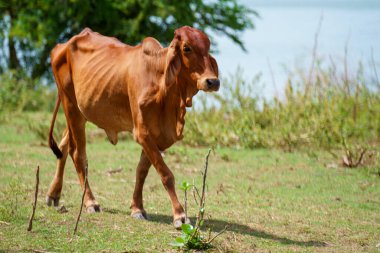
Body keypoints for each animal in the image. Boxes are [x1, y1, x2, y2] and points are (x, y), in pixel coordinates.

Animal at [46, 26, 220, 228]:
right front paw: (179, 215)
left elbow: (141, 171)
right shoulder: (142, 132)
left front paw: (137, 208)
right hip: (70, 105)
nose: (213, 81)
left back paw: (53, 195)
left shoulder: (157, 135)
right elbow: (166, 174)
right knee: (77, 154)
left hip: (80, 113)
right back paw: (90, 202)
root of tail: (62, 45)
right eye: (187, 48)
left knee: (64, 146)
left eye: (208, 47)